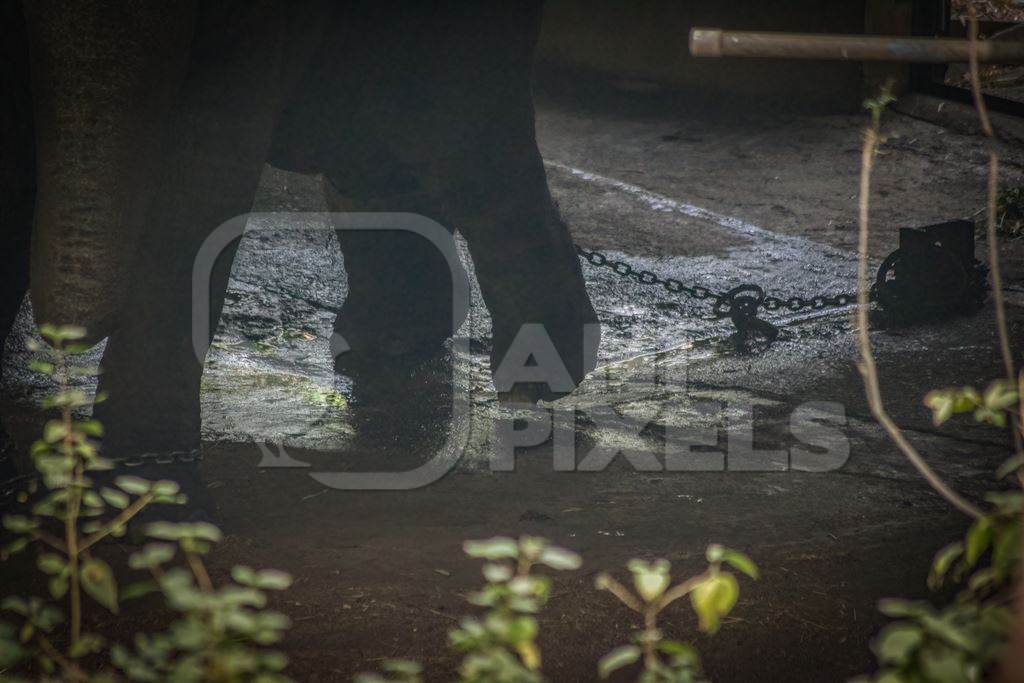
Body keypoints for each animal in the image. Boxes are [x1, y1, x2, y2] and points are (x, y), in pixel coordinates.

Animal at [0, 1, 598, 458]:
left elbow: (204, 161)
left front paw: (146, 462)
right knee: (380, 159)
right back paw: (384, 348)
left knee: (469, 151)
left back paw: (535, 383)